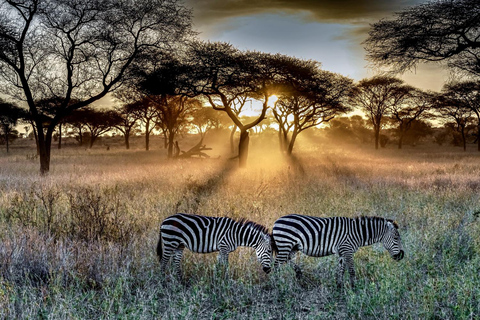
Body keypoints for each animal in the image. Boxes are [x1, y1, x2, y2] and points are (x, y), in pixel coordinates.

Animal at [272, 215, 404, 288]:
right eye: (396, 238)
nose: (401, 256)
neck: (357, 233)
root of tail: (277, 221)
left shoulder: (342, 252)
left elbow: (341, 269)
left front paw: (339, 286)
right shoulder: (347, 250)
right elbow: (351, 270)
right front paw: (354, 287)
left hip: (293, 247)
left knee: (287, 259)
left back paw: (298, 273)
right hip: (285, 244)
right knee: (276, 264)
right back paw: (277, 283)